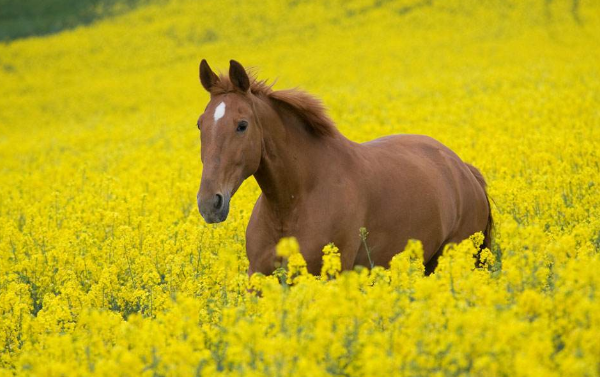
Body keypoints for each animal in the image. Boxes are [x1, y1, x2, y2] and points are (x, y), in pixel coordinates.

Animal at [197, 59, 492, 276]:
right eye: (200, 124)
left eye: (242, 125)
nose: (209, 203)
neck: (293, 202)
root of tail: (464, 169)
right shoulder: (258, 276)